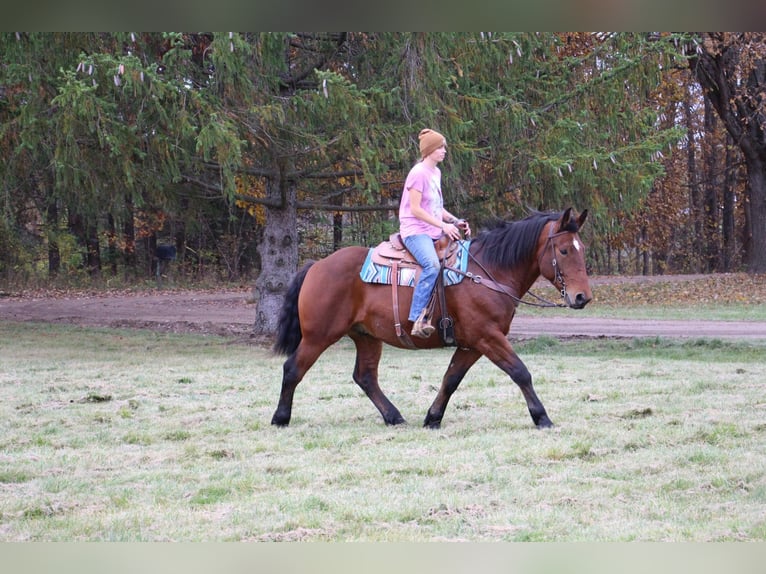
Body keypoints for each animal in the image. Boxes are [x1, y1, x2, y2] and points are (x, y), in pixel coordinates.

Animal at [270, 209, 592, 430]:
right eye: (564, 250)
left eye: (582, 249)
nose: (582, 297)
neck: (488, 271)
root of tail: (316, 266)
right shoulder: (487, 337)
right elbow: (520, 372)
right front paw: (542, 417)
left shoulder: (472, 344)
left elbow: (451, 379)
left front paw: (432, 418)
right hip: (319, 336)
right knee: (292, 369)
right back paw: (280, 418)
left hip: (366, 336)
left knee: (365, 376)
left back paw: (394, 416)